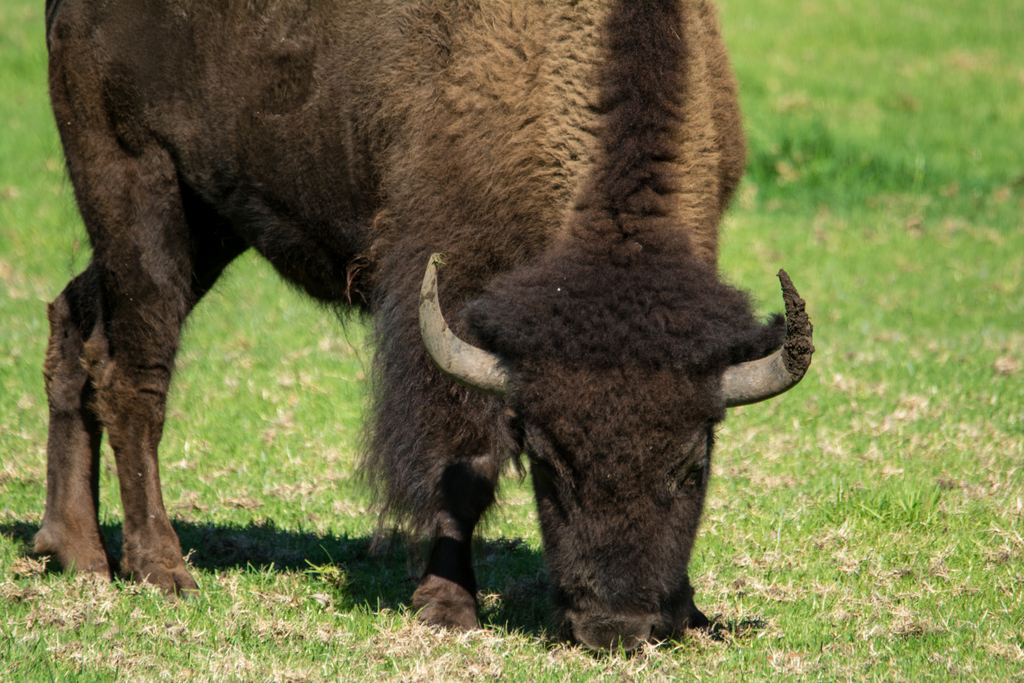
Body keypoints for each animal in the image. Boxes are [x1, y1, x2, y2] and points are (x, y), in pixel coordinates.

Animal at [36, 0, 813, 650]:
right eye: (548, 463)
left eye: (692, 463)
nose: (615, 627)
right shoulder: (443, 291)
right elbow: (461, 466)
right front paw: (448, 606)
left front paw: (694, 613)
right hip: (137, 187)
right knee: (134, 379)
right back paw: (161, 568)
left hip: (209, 222)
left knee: (74, 327)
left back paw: (74, 551)